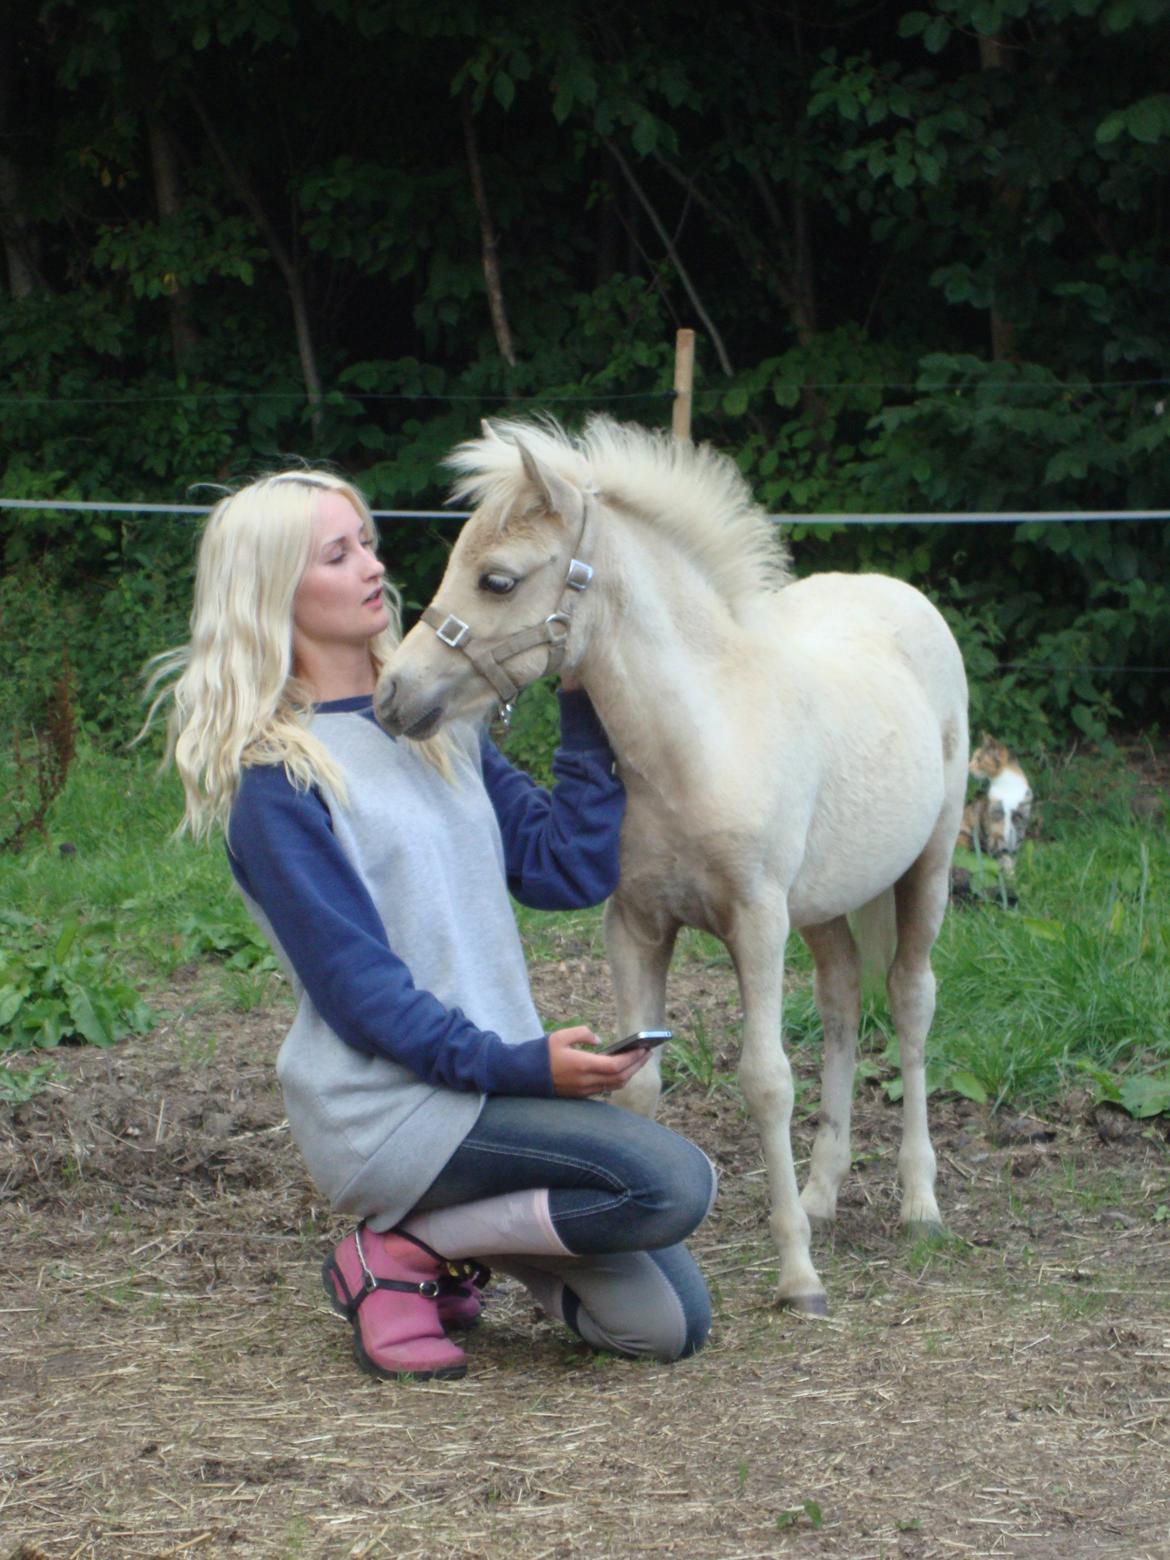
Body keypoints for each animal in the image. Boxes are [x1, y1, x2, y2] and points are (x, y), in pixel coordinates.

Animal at [375, 416, 969, 1314]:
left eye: (498, 580)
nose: (392, 695)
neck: (698, 740)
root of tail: (898, 593)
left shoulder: (757, 920)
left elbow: (766, 1080)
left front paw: (798, 1277)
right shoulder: (635, 923)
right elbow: (641, 1089)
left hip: (925, 868)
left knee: (909, 1003)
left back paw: (920, 1204)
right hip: (825, 904)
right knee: (840, 1002)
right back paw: (823, 1193)